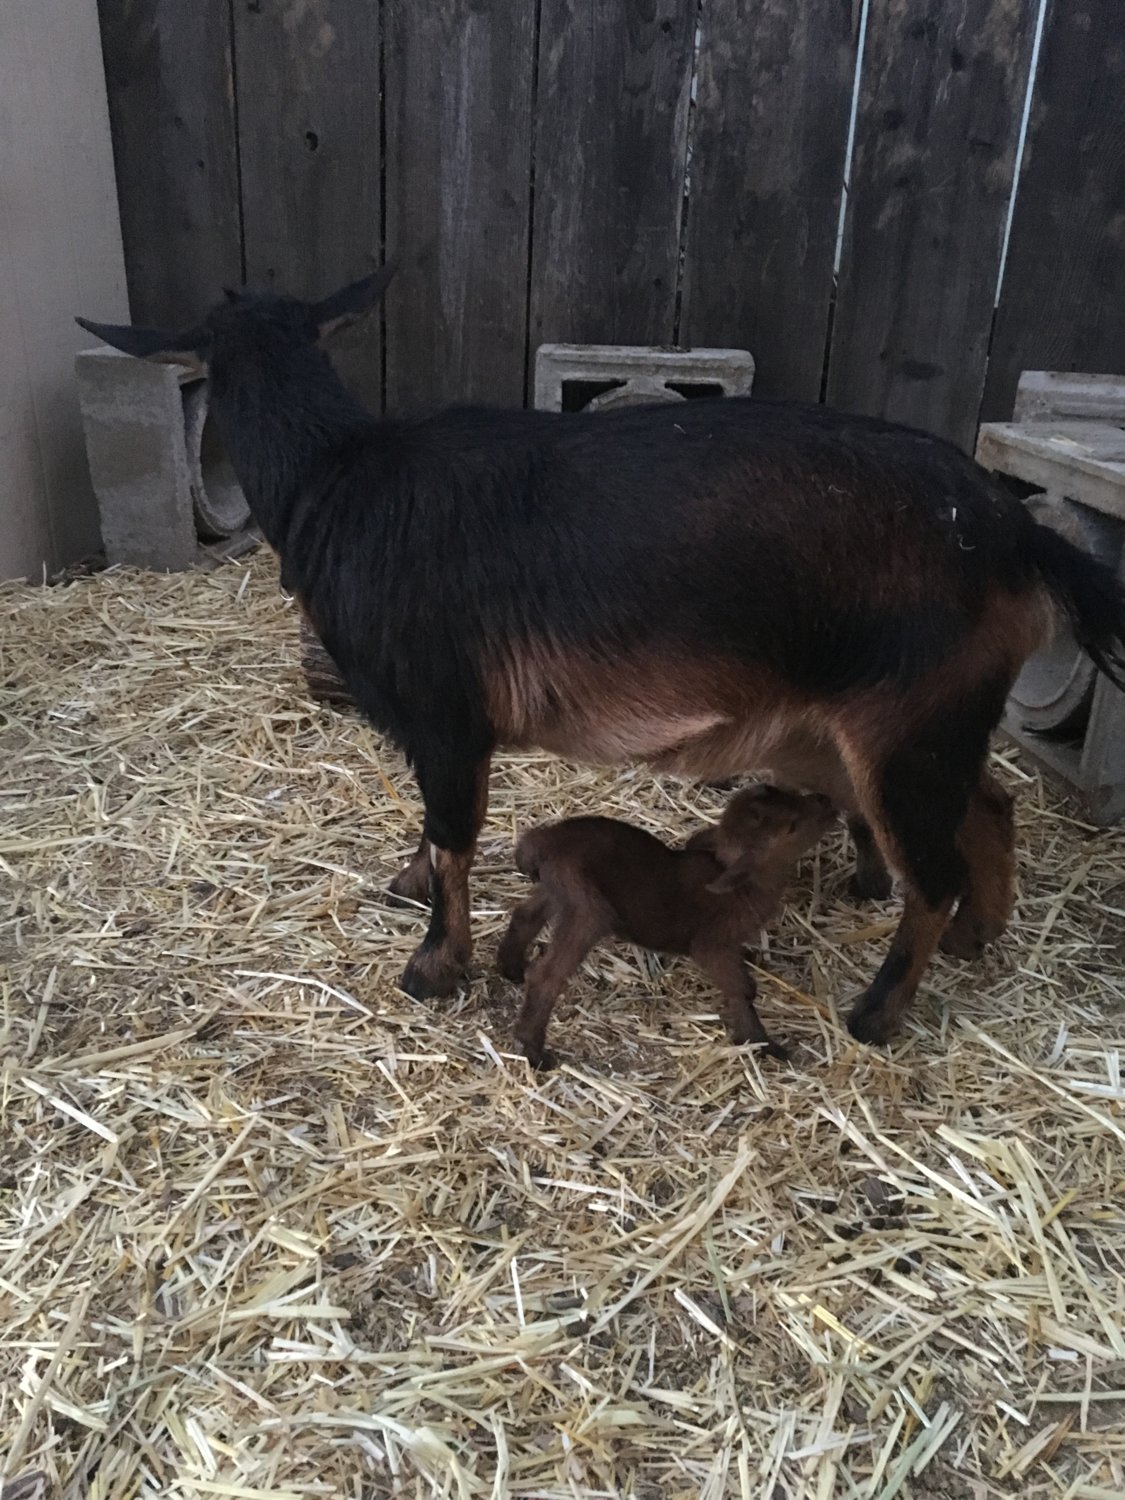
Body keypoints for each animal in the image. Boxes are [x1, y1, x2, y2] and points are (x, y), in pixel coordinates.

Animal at [498, 786, 840, 1068]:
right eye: (792, 826)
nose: (827, 800)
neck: (742, 887)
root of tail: (541, 843)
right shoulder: (711, 945)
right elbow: (742, 988)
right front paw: (760, 1042)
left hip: (558, 889)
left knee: (525, 915)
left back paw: (510, 968)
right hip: (588, 909)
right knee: (546, 976)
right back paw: (535, 1052)